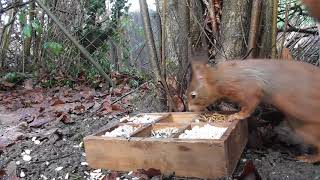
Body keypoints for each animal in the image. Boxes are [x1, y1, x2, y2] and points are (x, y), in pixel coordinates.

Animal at [186, 57, 320, 163]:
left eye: (193, 95)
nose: (189, 109)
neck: (220, 77)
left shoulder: (247, 88)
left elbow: (250, 104)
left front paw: (238, 115)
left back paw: (310, 158)